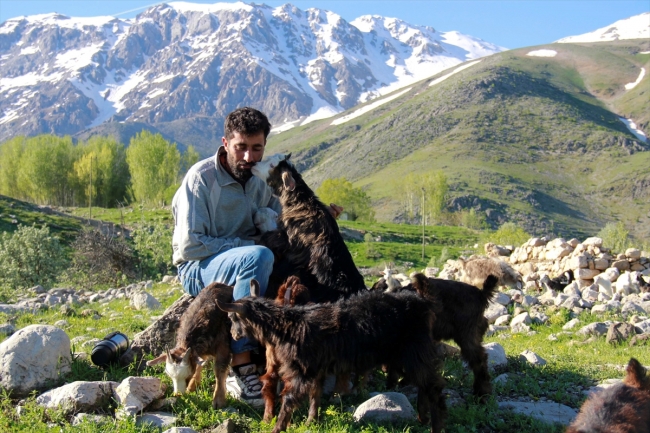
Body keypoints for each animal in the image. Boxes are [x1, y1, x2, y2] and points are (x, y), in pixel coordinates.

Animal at [218, 278, 446, 430]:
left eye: (232, 317)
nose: (233, 334)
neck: (288, 326)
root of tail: (422, 303)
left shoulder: (301, 370)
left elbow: (289, 400)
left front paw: (278, 428)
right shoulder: (317, 367)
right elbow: (315, 395)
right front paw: (311, 421)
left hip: (415, 351)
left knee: (433, 387)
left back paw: (435, 426)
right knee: (425, 384)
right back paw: (423, 418)